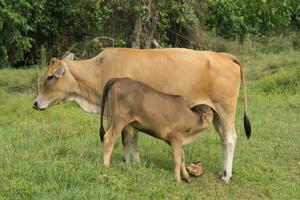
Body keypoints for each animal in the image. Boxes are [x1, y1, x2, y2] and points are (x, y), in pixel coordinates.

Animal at [33, 47, 251, 182]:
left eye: (50, 77)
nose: (35, 103)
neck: (100, 69)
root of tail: (223, 55)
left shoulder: (121, 117)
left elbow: (127, 139)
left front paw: (128, 162)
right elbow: (132, 139)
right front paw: (134, 163)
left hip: (225, 109)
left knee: (230, 138)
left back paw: (227, 176)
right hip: (215, 113)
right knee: (223, 140)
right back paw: (223, 171)